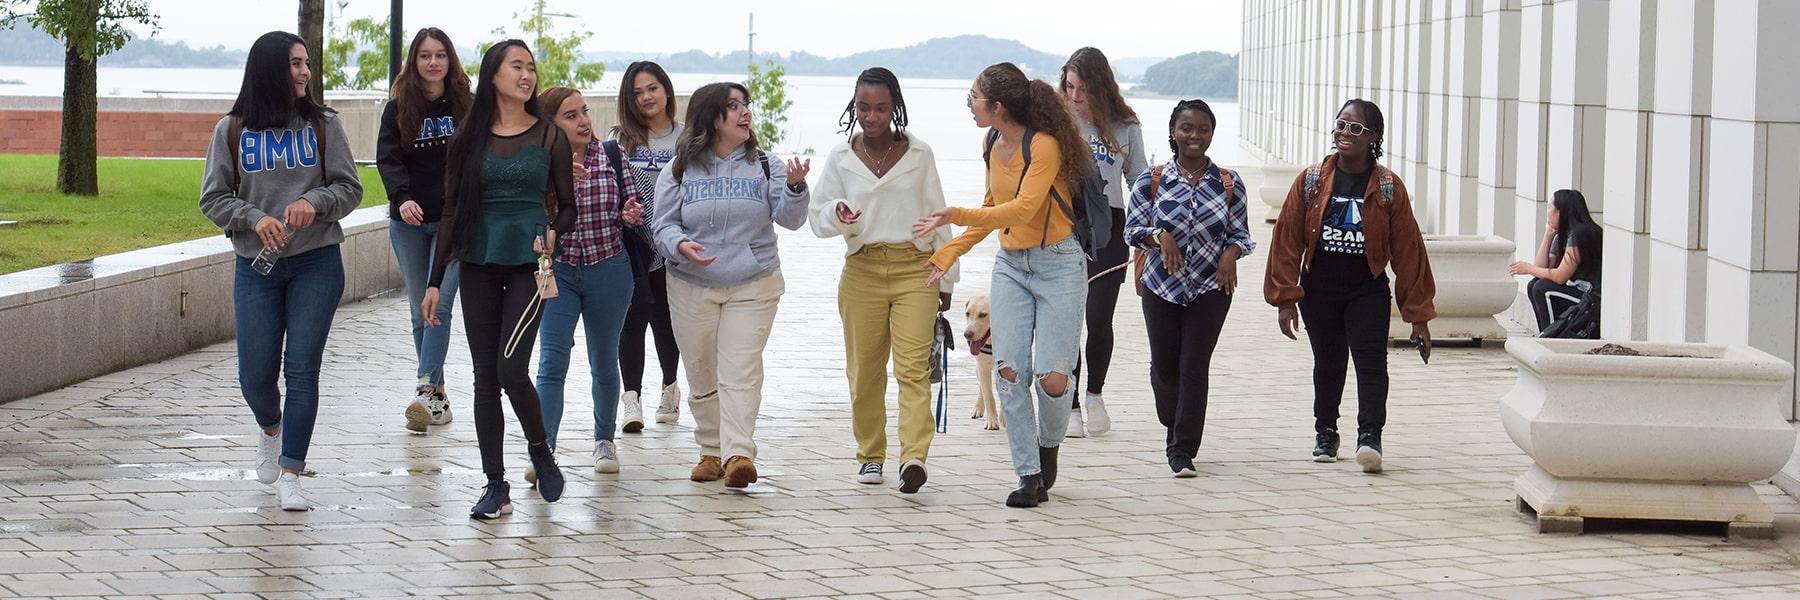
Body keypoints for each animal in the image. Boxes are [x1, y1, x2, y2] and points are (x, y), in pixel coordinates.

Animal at [964, 293, 1008, 430]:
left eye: (983, 315)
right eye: (967, 313)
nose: (967, 334)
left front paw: (1004, 419)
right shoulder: (982, 366)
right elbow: (988, 396)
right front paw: (992, 422)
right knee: (982, 388)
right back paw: (978, 409)